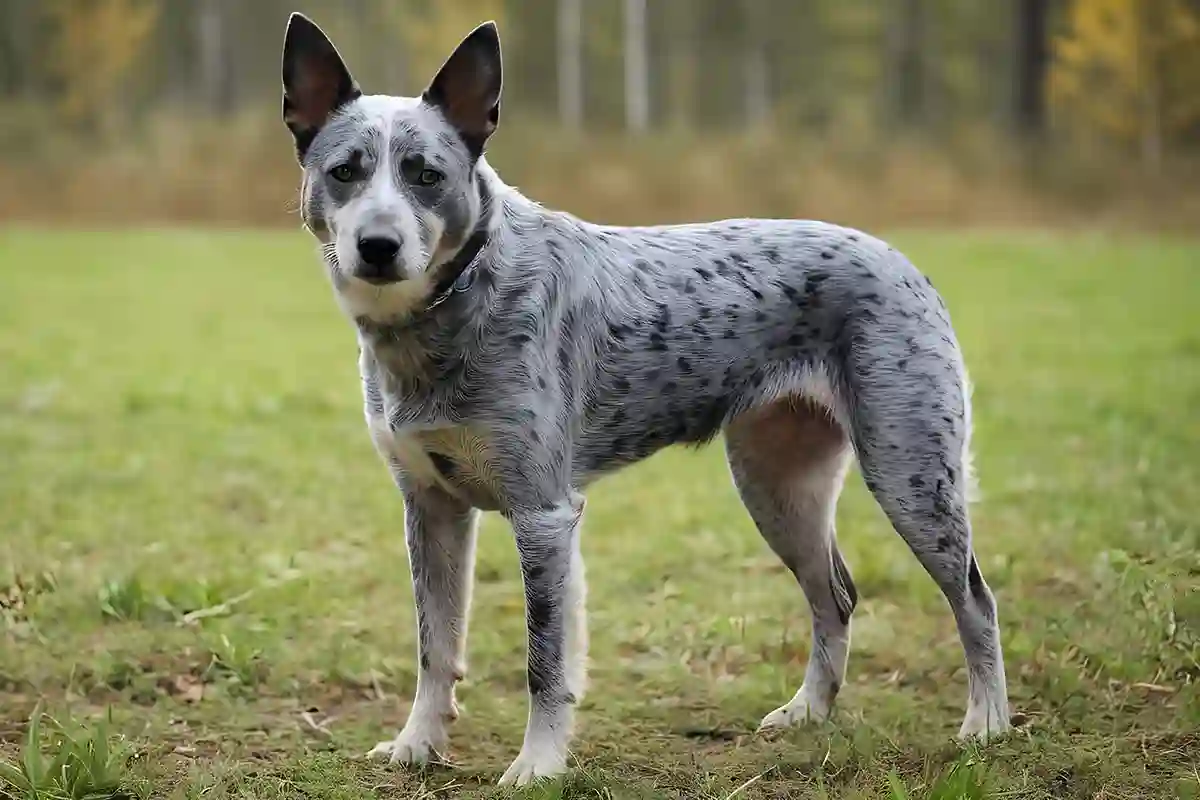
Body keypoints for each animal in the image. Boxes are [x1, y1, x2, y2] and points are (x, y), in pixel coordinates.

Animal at [280, 12, 1012, 786]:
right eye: (345, 171)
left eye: (427, 175)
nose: (378, 245)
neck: (462, 298)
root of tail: (902, 262)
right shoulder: (431, 509)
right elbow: (435, 646)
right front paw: (418, 745)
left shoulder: (544, 516)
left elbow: (545, 663)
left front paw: (538, 766)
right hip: (779, 487)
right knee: (834, 596)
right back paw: (808, 713)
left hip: (911, 478)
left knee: (975, 599)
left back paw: (986, 724)